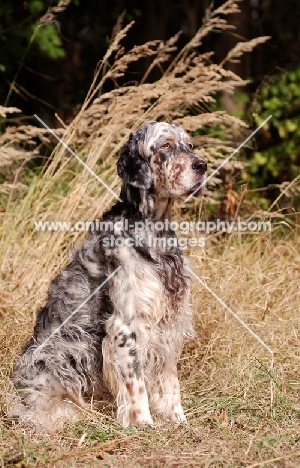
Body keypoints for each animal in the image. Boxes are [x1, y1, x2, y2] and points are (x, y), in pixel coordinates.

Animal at [9, 121, 206, 432]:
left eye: (189, 145)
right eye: (165, 145)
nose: (202, 165)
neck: (153, 234)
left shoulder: (169, 322)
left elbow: (170, 379)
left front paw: (178, 418)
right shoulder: (126, 325)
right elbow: (136, 383)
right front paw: (143, 423)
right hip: (59, 352)